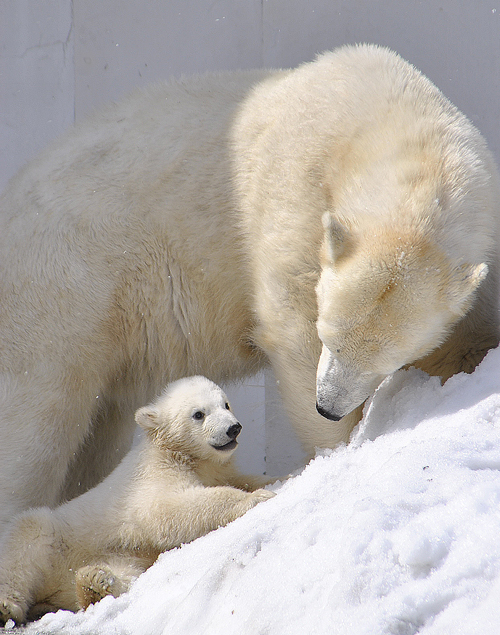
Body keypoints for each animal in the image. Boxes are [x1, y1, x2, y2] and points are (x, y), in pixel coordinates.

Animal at [0, 44, 500, 532]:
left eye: (388, 362)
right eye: (329, 337)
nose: (328, 406)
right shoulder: (295, 192)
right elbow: (292, 324)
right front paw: (331, 452)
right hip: (62, 291)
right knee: (37, 420)